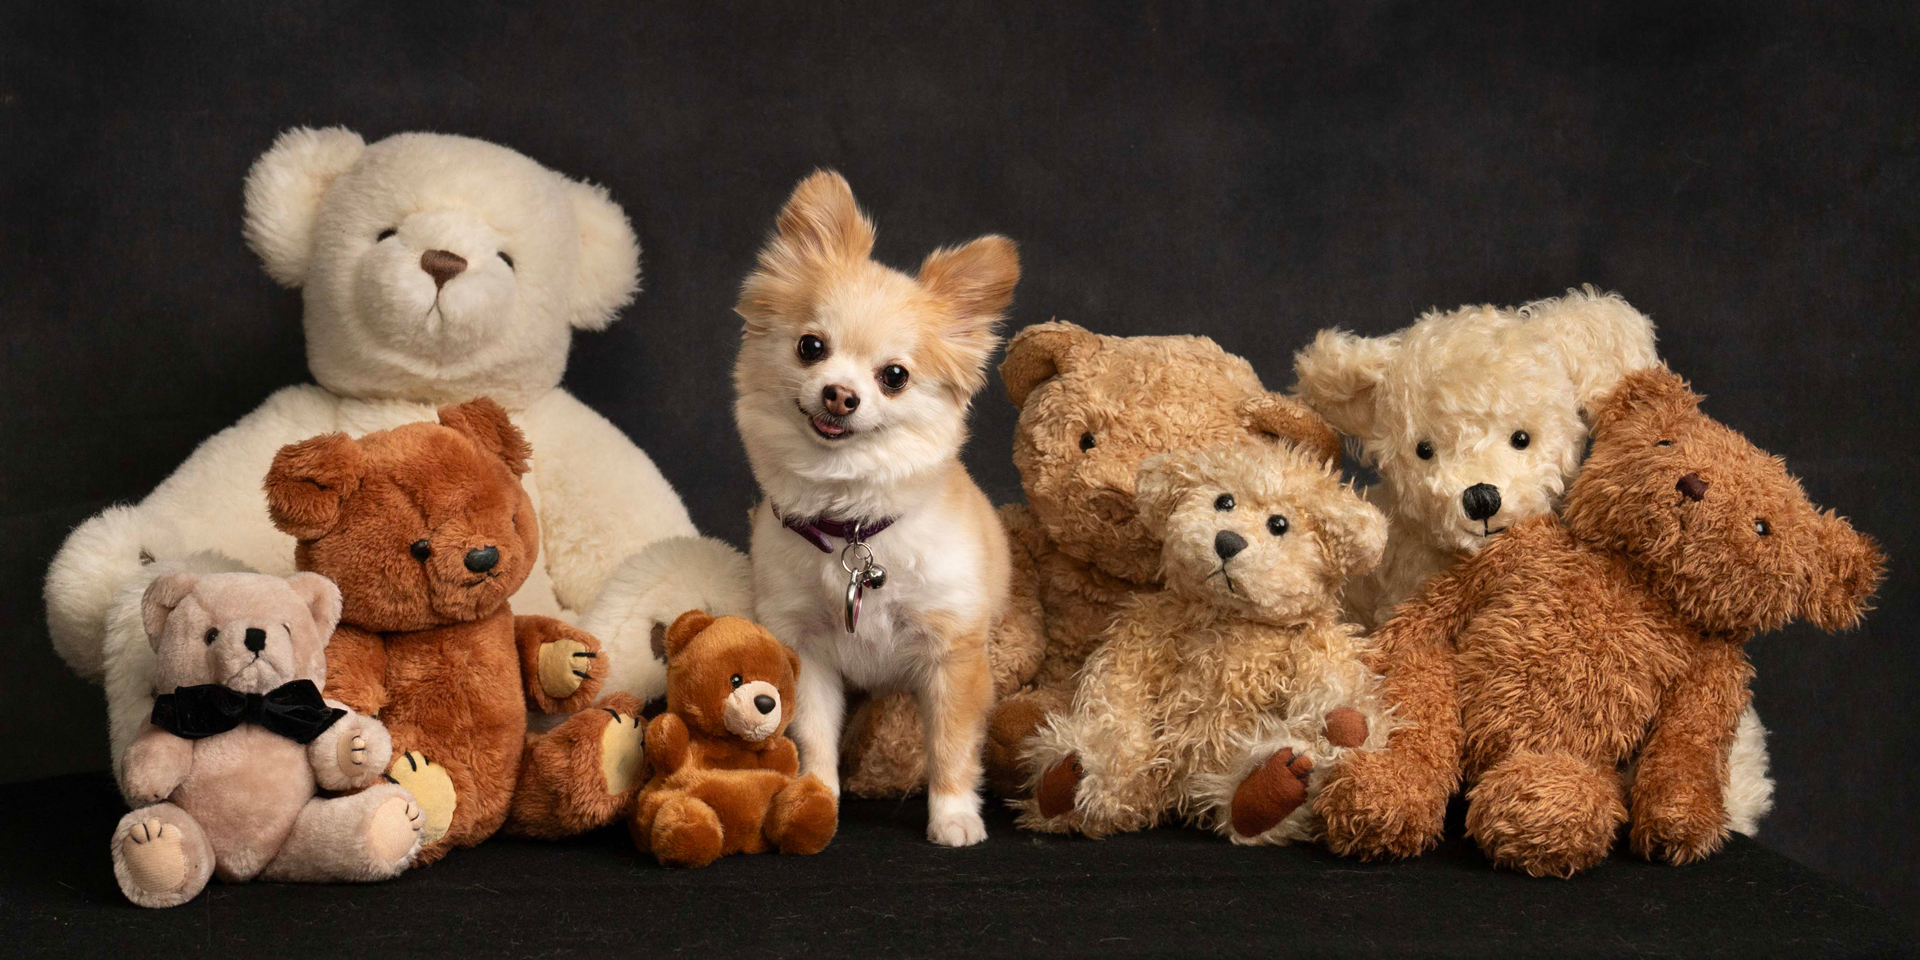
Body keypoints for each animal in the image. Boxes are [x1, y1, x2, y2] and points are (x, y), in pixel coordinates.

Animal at [729, 172, 1021, 848]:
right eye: (811, 347)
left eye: (894, 376)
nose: (841, 394)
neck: (853, 528)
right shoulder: (804, 650)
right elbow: (811, 735)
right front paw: (814, 800)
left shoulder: (953, 656)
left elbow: (951, 745)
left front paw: (954, 815)